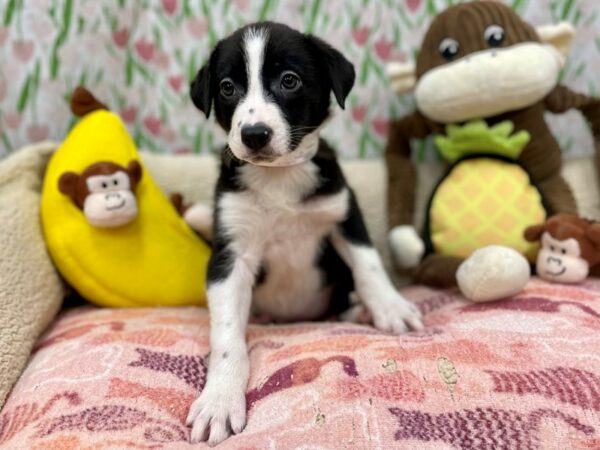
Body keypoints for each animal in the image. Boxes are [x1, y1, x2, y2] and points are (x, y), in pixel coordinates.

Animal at [185, 22, 424, 444]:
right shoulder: (231, 253)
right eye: (228, 87)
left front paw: (391, 307)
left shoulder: (344, 214)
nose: (254, 134)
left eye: (289, 80)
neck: (279, 176)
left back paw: (362, 308)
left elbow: (369, 266)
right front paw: (220, 398)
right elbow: (228, 336)